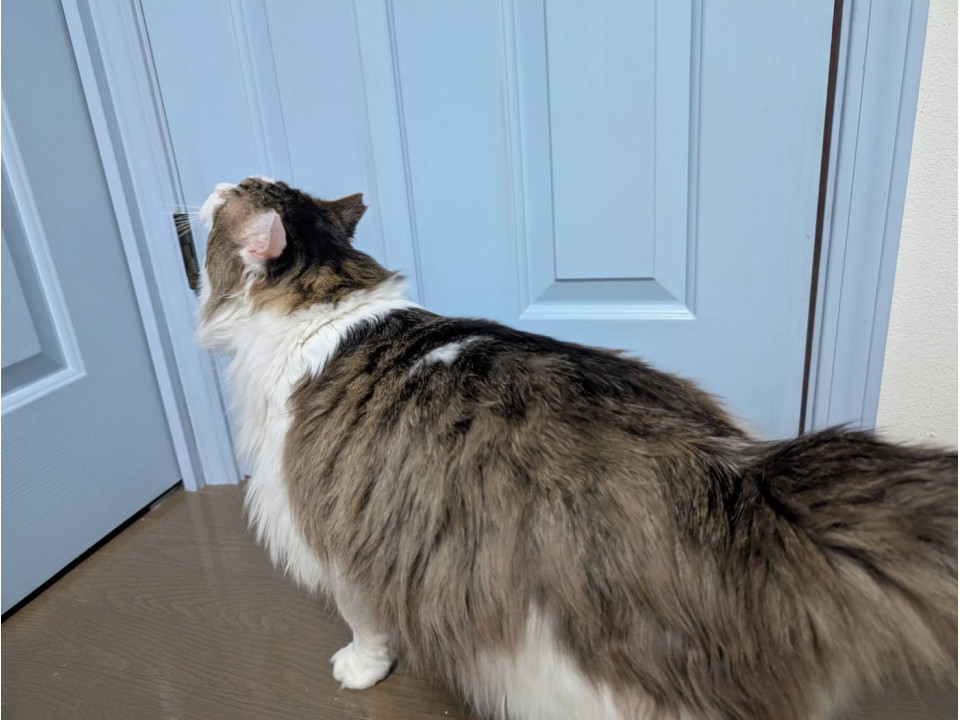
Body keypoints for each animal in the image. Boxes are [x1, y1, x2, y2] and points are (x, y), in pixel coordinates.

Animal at [196, 177, 957, 720]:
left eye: (228, 198)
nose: (208, 187)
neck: (326, 302)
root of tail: (739, 475)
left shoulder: (331, 533)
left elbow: (362, 622)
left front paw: (358, 668)